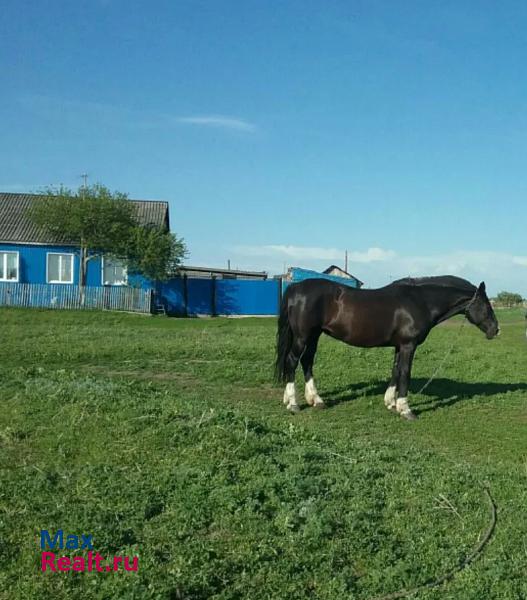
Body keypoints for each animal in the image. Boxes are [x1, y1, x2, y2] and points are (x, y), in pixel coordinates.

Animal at [274, 276, 502, 420]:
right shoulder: (409, 346)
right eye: (486, 305)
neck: (421, 301)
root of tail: (295, 288)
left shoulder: (399, 346)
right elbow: (405, 373)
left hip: (314, 335)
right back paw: (293, 403)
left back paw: (315, 400)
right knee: (292, 361)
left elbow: (396, 371)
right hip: (303, 336)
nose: (495, 330)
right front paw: (405, 409)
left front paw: (391, 403)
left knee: (307, 361)